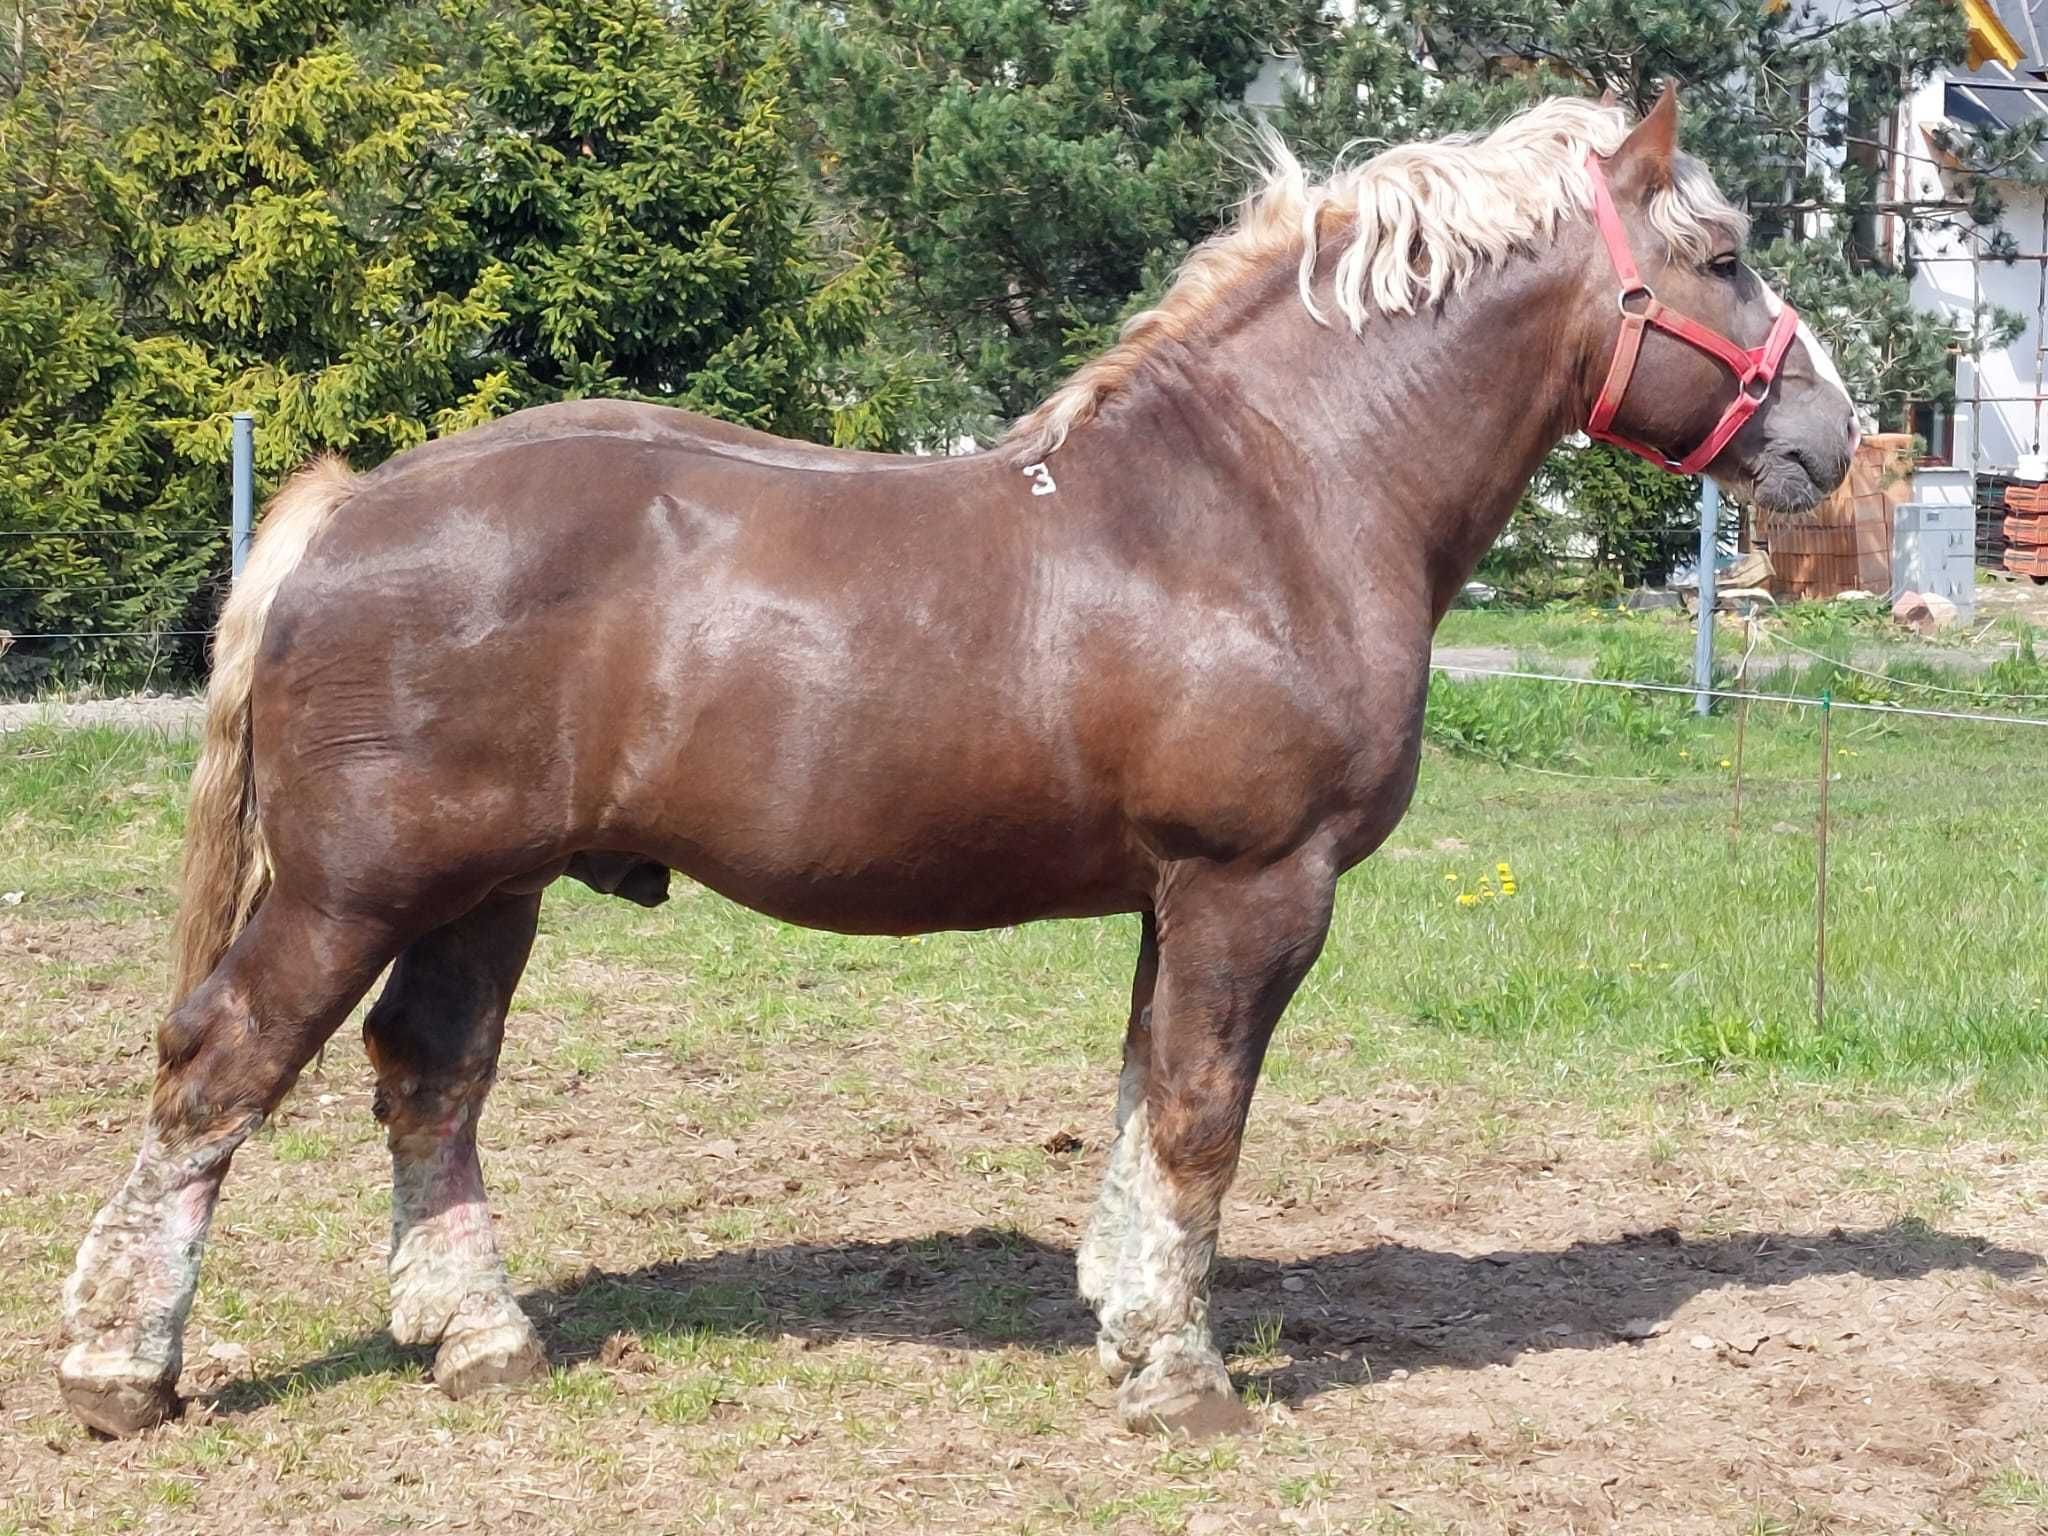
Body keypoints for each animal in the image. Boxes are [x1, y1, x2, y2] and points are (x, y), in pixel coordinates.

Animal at [59, 90, 1859, 1441]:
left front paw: (1127, 1323)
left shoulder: (1172, 899)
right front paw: (1183, 1382)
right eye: (1724, 252)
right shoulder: (1254, 888)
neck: (1269, 498)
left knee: (430, 1076)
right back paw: (118, 1368)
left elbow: (1141, 1103)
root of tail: (347, 505)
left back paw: (477, 1338)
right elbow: (1200, 1120)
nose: (1829, 440)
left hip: (481, 890)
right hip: (354, 892)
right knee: (218, 1067)